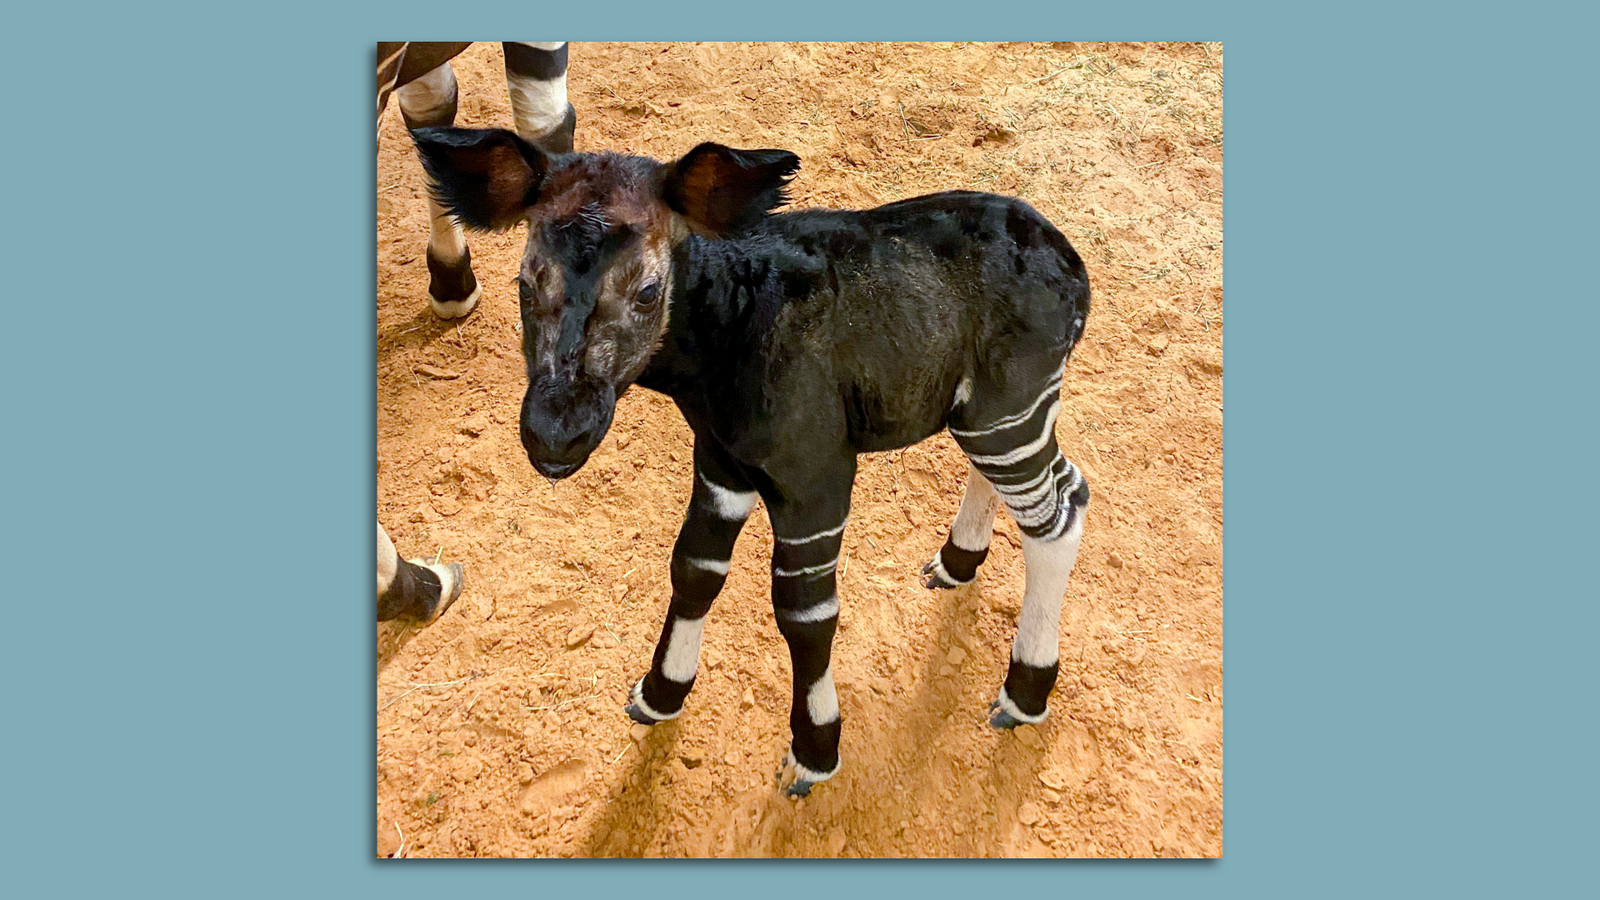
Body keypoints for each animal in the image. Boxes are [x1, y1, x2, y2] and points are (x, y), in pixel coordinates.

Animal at [412, 124, 1094, 791]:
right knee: (1023, 486)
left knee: (1061, 509)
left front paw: (815, 749)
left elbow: (805, 611)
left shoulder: (815, 476)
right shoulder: (721, 463)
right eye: (525, 285)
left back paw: (1023, 691)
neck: (728, 337)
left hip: (1010, 411)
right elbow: (694, 569)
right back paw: (956, 563)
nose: (555, 436)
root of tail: (1071, 263)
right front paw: (660, 694)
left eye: (648, 292)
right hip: (984, 414)